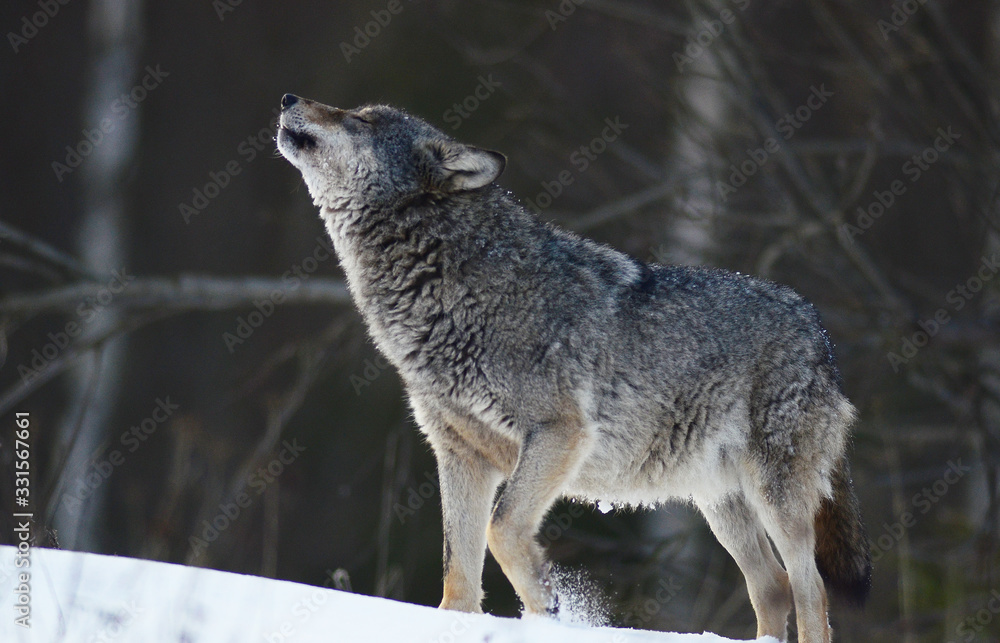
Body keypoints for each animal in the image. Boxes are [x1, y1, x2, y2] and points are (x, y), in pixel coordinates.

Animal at [276, 93, 871, 642]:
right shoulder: (460, 455)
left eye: (361, 119)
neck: (451, 287)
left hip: (774, 497)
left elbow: (502, 529)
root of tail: (818, 331)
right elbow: (458, 577)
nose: (288, 98)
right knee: (772, 587)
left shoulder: (558, 433)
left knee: (809, 588)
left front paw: (550, 606)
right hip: (720, 504)